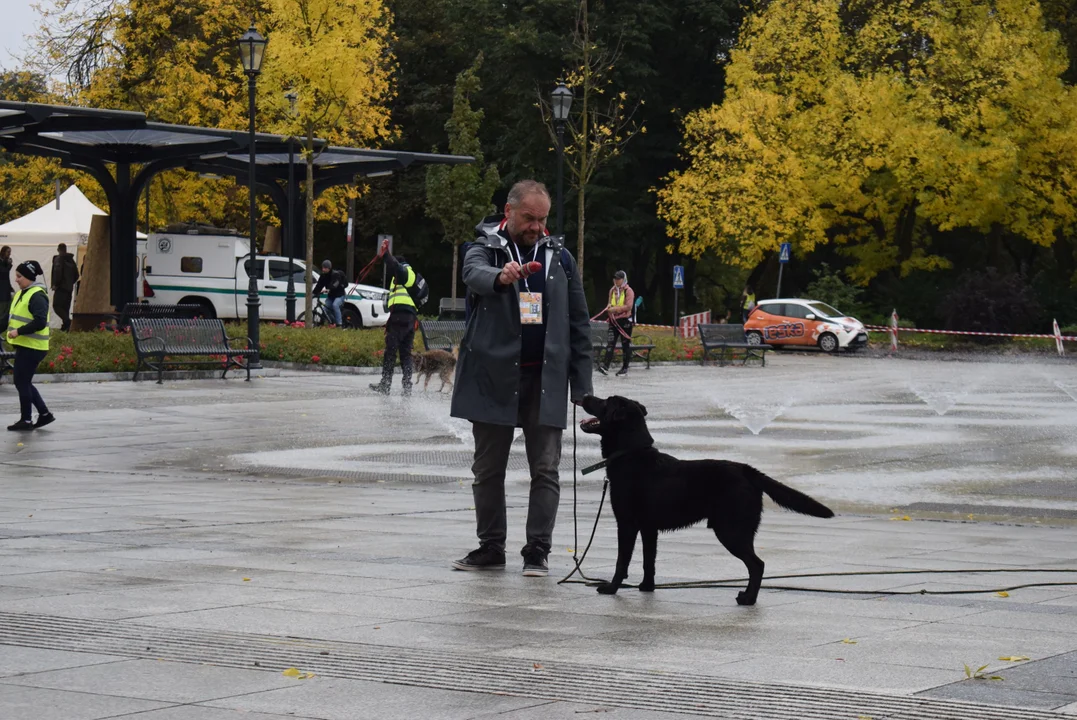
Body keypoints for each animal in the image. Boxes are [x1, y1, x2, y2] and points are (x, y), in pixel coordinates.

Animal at [581, 393, 831, 602]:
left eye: (605, 401)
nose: (584, 395)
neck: (630, 453)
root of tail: (747, 470)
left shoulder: (627, 524)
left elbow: (621, 561)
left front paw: (611, 588)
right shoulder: (649, 529)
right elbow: (648, 561)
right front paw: (646, 587)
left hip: (731, 530)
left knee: (757, 564)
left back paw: (748, 599)